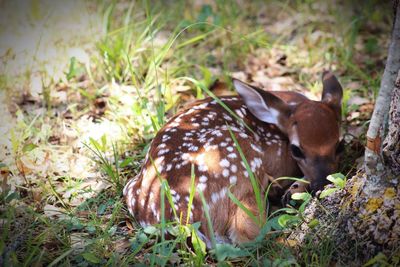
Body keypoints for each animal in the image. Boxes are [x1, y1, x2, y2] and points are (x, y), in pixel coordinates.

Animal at [123, 70, 342, 247]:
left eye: (340, 145)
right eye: (296, 150)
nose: (323, 184)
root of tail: (187, 220)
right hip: (242, 158)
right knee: (248, 235)